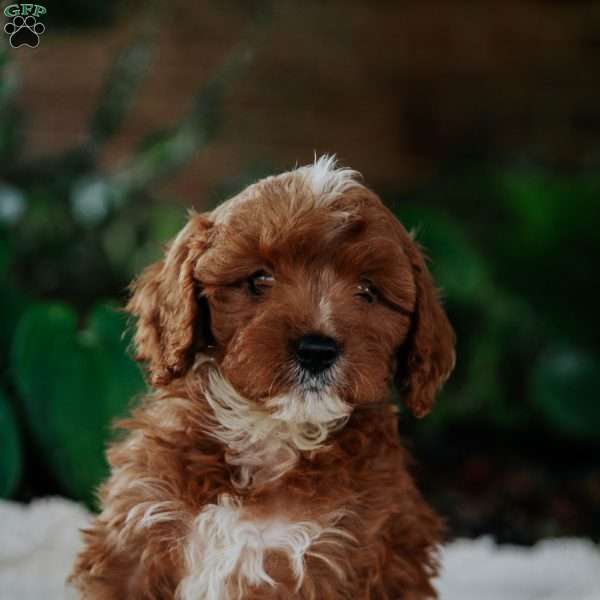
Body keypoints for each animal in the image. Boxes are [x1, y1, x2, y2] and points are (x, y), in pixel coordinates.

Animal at [70, 157, 454, 596]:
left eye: (367, 292)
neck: (268, 431)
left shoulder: (331, 558)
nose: (317, 350)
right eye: (259, 280)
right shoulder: (136, 529)